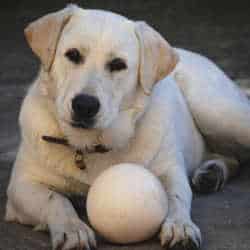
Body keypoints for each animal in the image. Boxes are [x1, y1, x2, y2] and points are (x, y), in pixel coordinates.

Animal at [5, 4, 250, 250]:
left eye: (118, 65)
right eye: (73, 55)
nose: (85, 105)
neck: (93, 146)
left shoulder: (171, 171)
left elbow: (177, 197)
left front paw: (180, 225)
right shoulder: (20, 187)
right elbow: (55, 200)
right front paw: (72, 228)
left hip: (218, 113)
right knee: (232, 156)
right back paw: (212, 172)